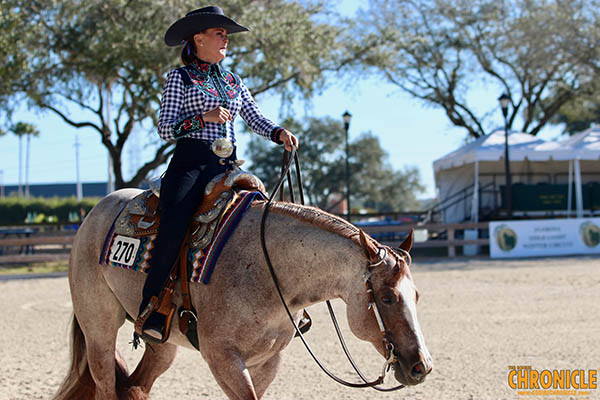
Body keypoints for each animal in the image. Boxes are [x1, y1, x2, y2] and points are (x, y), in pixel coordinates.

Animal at [54, 188, 434, 400]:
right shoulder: (223, 359)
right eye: (387, 298)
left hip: (162, 343)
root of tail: (94, 213)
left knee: (137, 385)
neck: (268, 270)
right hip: (99, 333)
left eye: (417, 296)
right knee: (107, 386)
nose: (422, 366)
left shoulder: (267, 361)